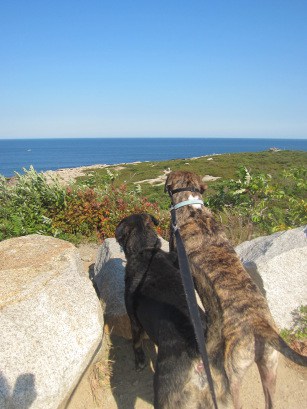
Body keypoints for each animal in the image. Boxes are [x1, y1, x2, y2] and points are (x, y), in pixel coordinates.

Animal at [115, 214, 233, 408]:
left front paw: (139, 362)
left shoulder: (134, 320)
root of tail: (201, 354)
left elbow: (136, 343)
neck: (146, 250)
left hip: (166, 395)